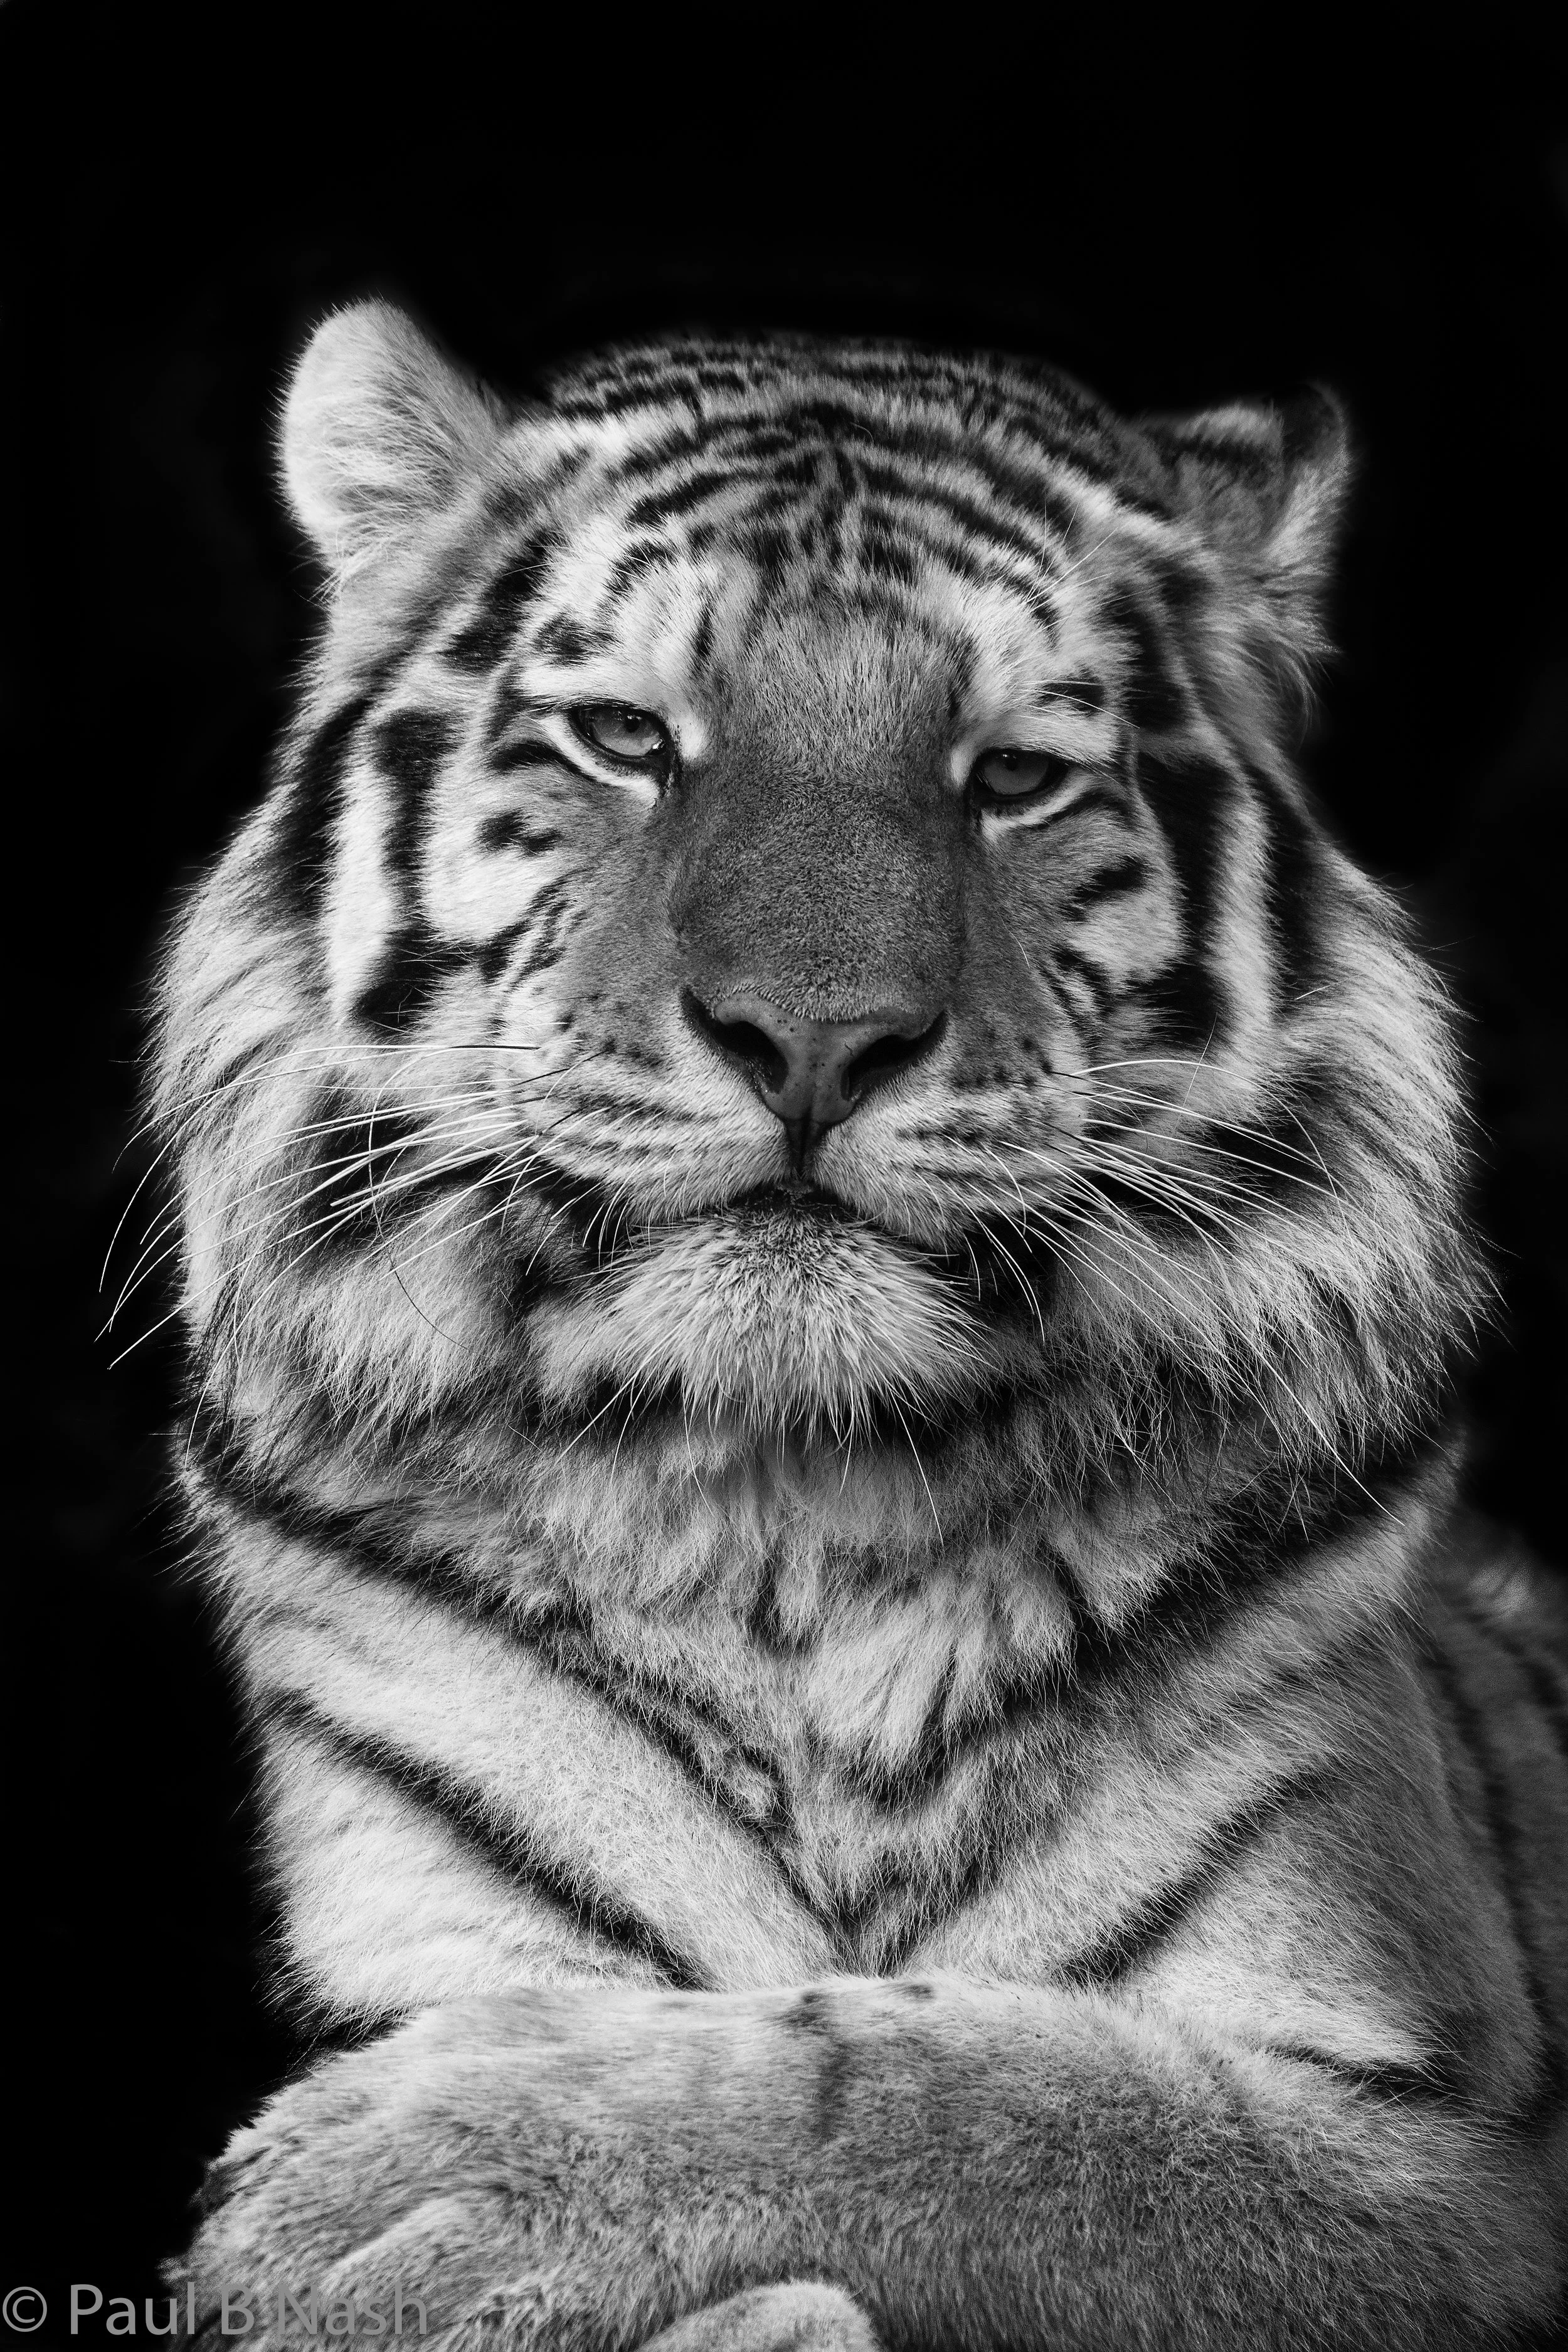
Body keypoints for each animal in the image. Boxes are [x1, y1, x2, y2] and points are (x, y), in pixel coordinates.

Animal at [148, 299, 1568, 2350]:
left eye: (1013, 775)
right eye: (626, 740)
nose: (815, 1037)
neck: (787, 1514)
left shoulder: (1444, 2158)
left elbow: (983, 2087)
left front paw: (396, 2175)